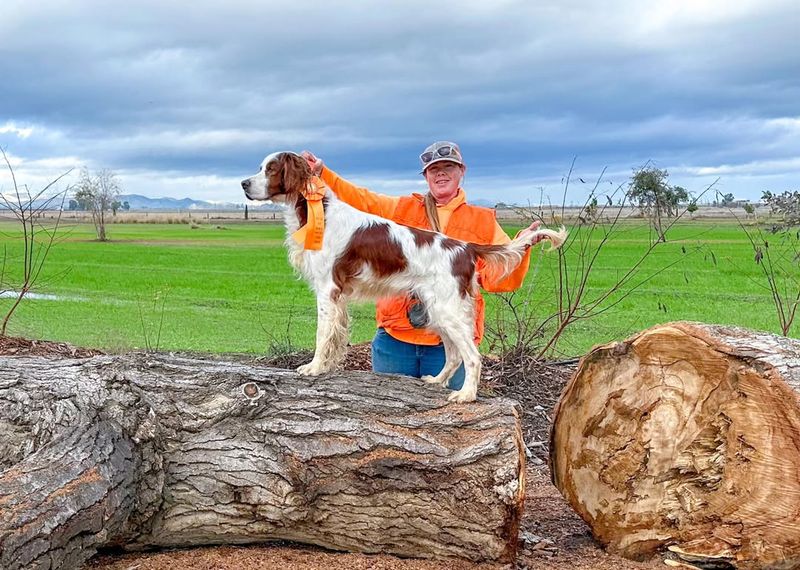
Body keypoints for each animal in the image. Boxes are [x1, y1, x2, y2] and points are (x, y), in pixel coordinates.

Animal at [241, 150, 564, 400]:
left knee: (472, 356)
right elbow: (337, 336)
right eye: (260, 167)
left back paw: (466, 395)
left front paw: (314, 367)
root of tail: (466, 248)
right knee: (454, 354)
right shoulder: (338, 296)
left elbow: (322, 335)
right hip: (438, 309)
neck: (318, 211)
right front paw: (329, 366)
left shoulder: (328, 289)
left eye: (270, 168)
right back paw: (437, 381)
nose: (243, 183)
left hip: (446, 308)